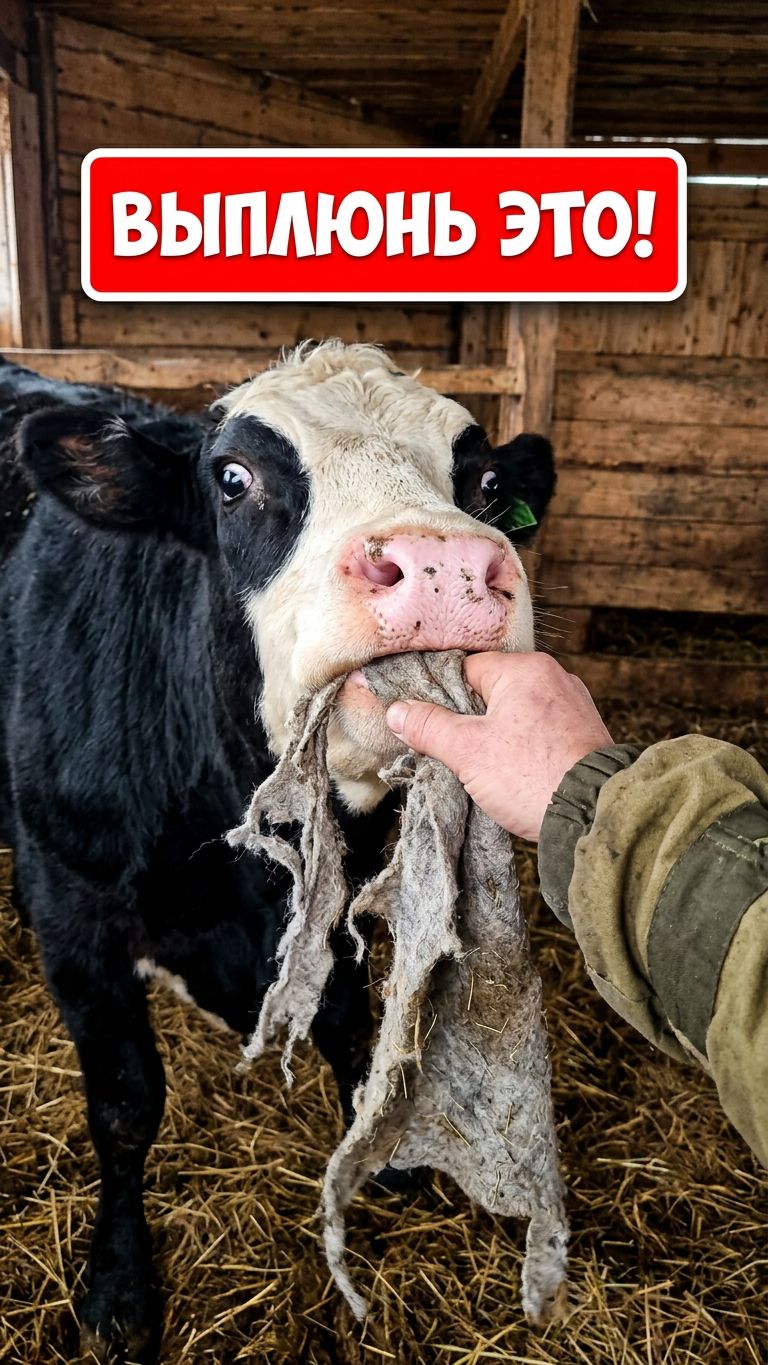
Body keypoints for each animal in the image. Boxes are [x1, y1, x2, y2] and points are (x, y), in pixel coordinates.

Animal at [0, 342, 556, 1363]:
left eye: (488, 485)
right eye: (233, 478)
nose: (446, 564)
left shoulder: (333, 891)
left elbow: (346, 1019)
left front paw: (380, 1151)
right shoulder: (72, 906)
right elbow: (126, 1103)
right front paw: (119, 1281)